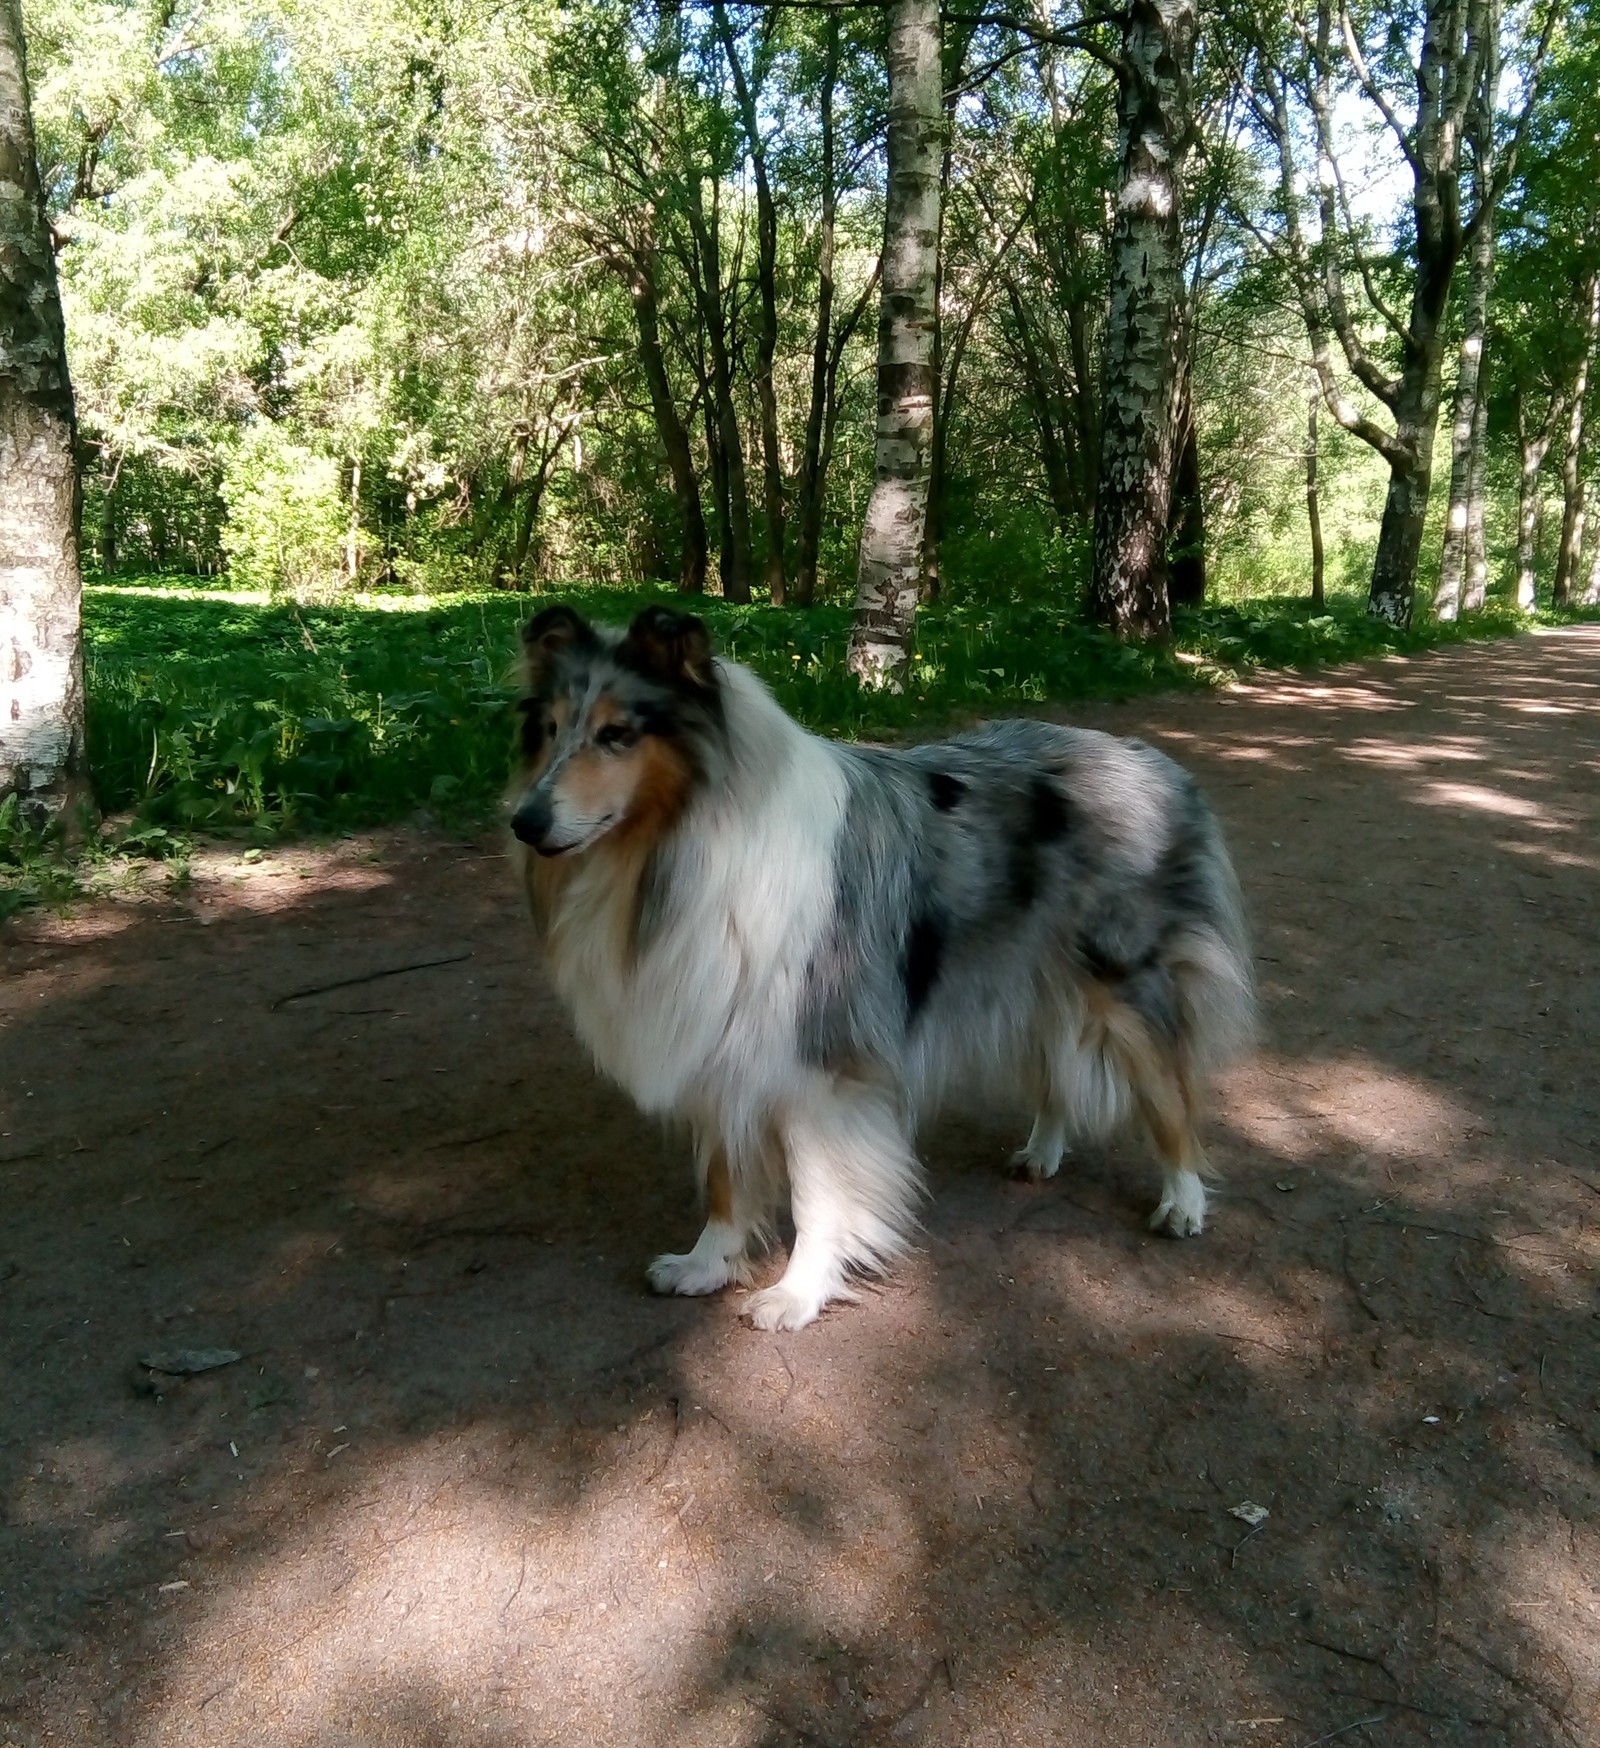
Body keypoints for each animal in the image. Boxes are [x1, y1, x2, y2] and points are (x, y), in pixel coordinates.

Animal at [507, 608, 1259, 1328]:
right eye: (549, 728)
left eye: (616, 734)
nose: (524, 822)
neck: (680, 843)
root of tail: (1152, 759)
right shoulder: (721, 1035)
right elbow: (725, 1175)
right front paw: (705, 1264)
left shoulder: (821, 1070)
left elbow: (819, 1198)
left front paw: (797, 1295)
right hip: (1028, 979)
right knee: (1055, 1067)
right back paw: (1043, 1151)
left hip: (1123, 981)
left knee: (1170, 1094)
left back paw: (1183, 1201)